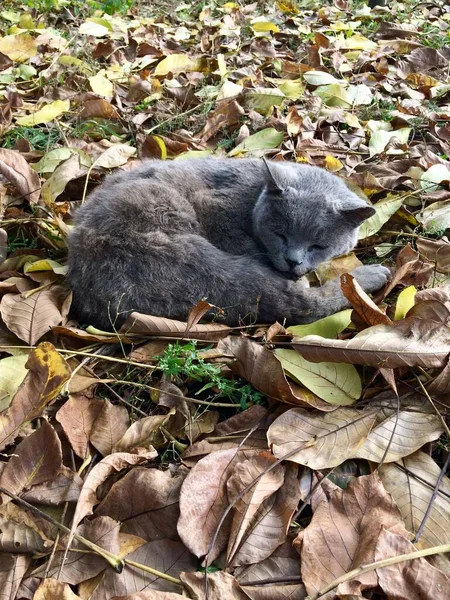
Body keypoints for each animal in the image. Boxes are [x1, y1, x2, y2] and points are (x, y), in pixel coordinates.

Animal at [67, 157, 390, 330]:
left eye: (319, 246)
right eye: (280, 234)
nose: (293, 261)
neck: (252, 194)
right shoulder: (212, 206)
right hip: (197, 264)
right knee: (299, 305)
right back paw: (371, 276)